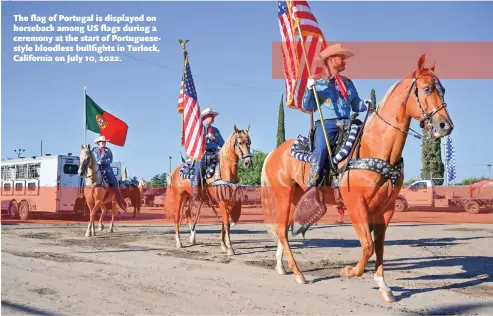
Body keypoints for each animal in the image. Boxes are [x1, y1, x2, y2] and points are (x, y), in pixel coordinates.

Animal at [165, 124, 252, 256]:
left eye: (249, 142)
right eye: (240, 142)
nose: (248, 162)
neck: (225, 172)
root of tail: (175, 171)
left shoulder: (229, 202)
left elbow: (224, 223)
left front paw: (223, 245)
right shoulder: (222, 201)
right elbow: (226, 224)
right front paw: (230, 248)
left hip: (190, 197)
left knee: (188, 213)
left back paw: (193, 239)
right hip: (179, 196)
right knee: (177, 216)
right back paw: (179, 242)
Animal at [262, 53, 454, 302]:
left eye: (443, 89)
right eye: (428, 88)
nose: (445, 125)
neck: (375, 148)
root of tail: (273, 153)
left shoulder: (385, 208)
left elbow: (379, 246)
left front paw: (384, 286)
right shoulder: (356, 205)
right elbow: (368, 246)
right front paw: (349, 271)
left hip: (295, 197)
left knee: (282, 229)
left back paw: (281, 266)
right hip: (283, 195)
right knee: (283, 232)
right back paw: (298, 274)